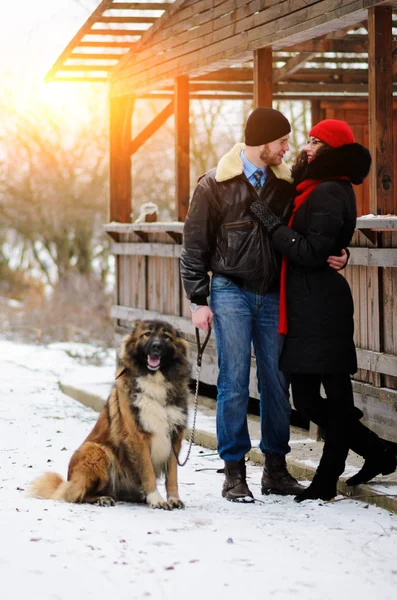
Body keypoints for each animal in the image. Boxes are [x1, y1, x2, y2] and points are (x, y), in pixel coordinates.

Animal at [29, 322, 190, 508]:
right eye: (147, 334)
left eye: (166, 337)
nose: (156, 346)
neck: (155, 381)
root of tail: (68, 480)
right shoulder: (137, 437)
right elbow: (147, 471)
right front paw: (156, 499)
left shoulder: (174, 437)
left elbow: (172, 475)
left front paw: (174, 499)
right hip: (96, 451)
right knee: (77, 494)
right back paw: (102, 498)